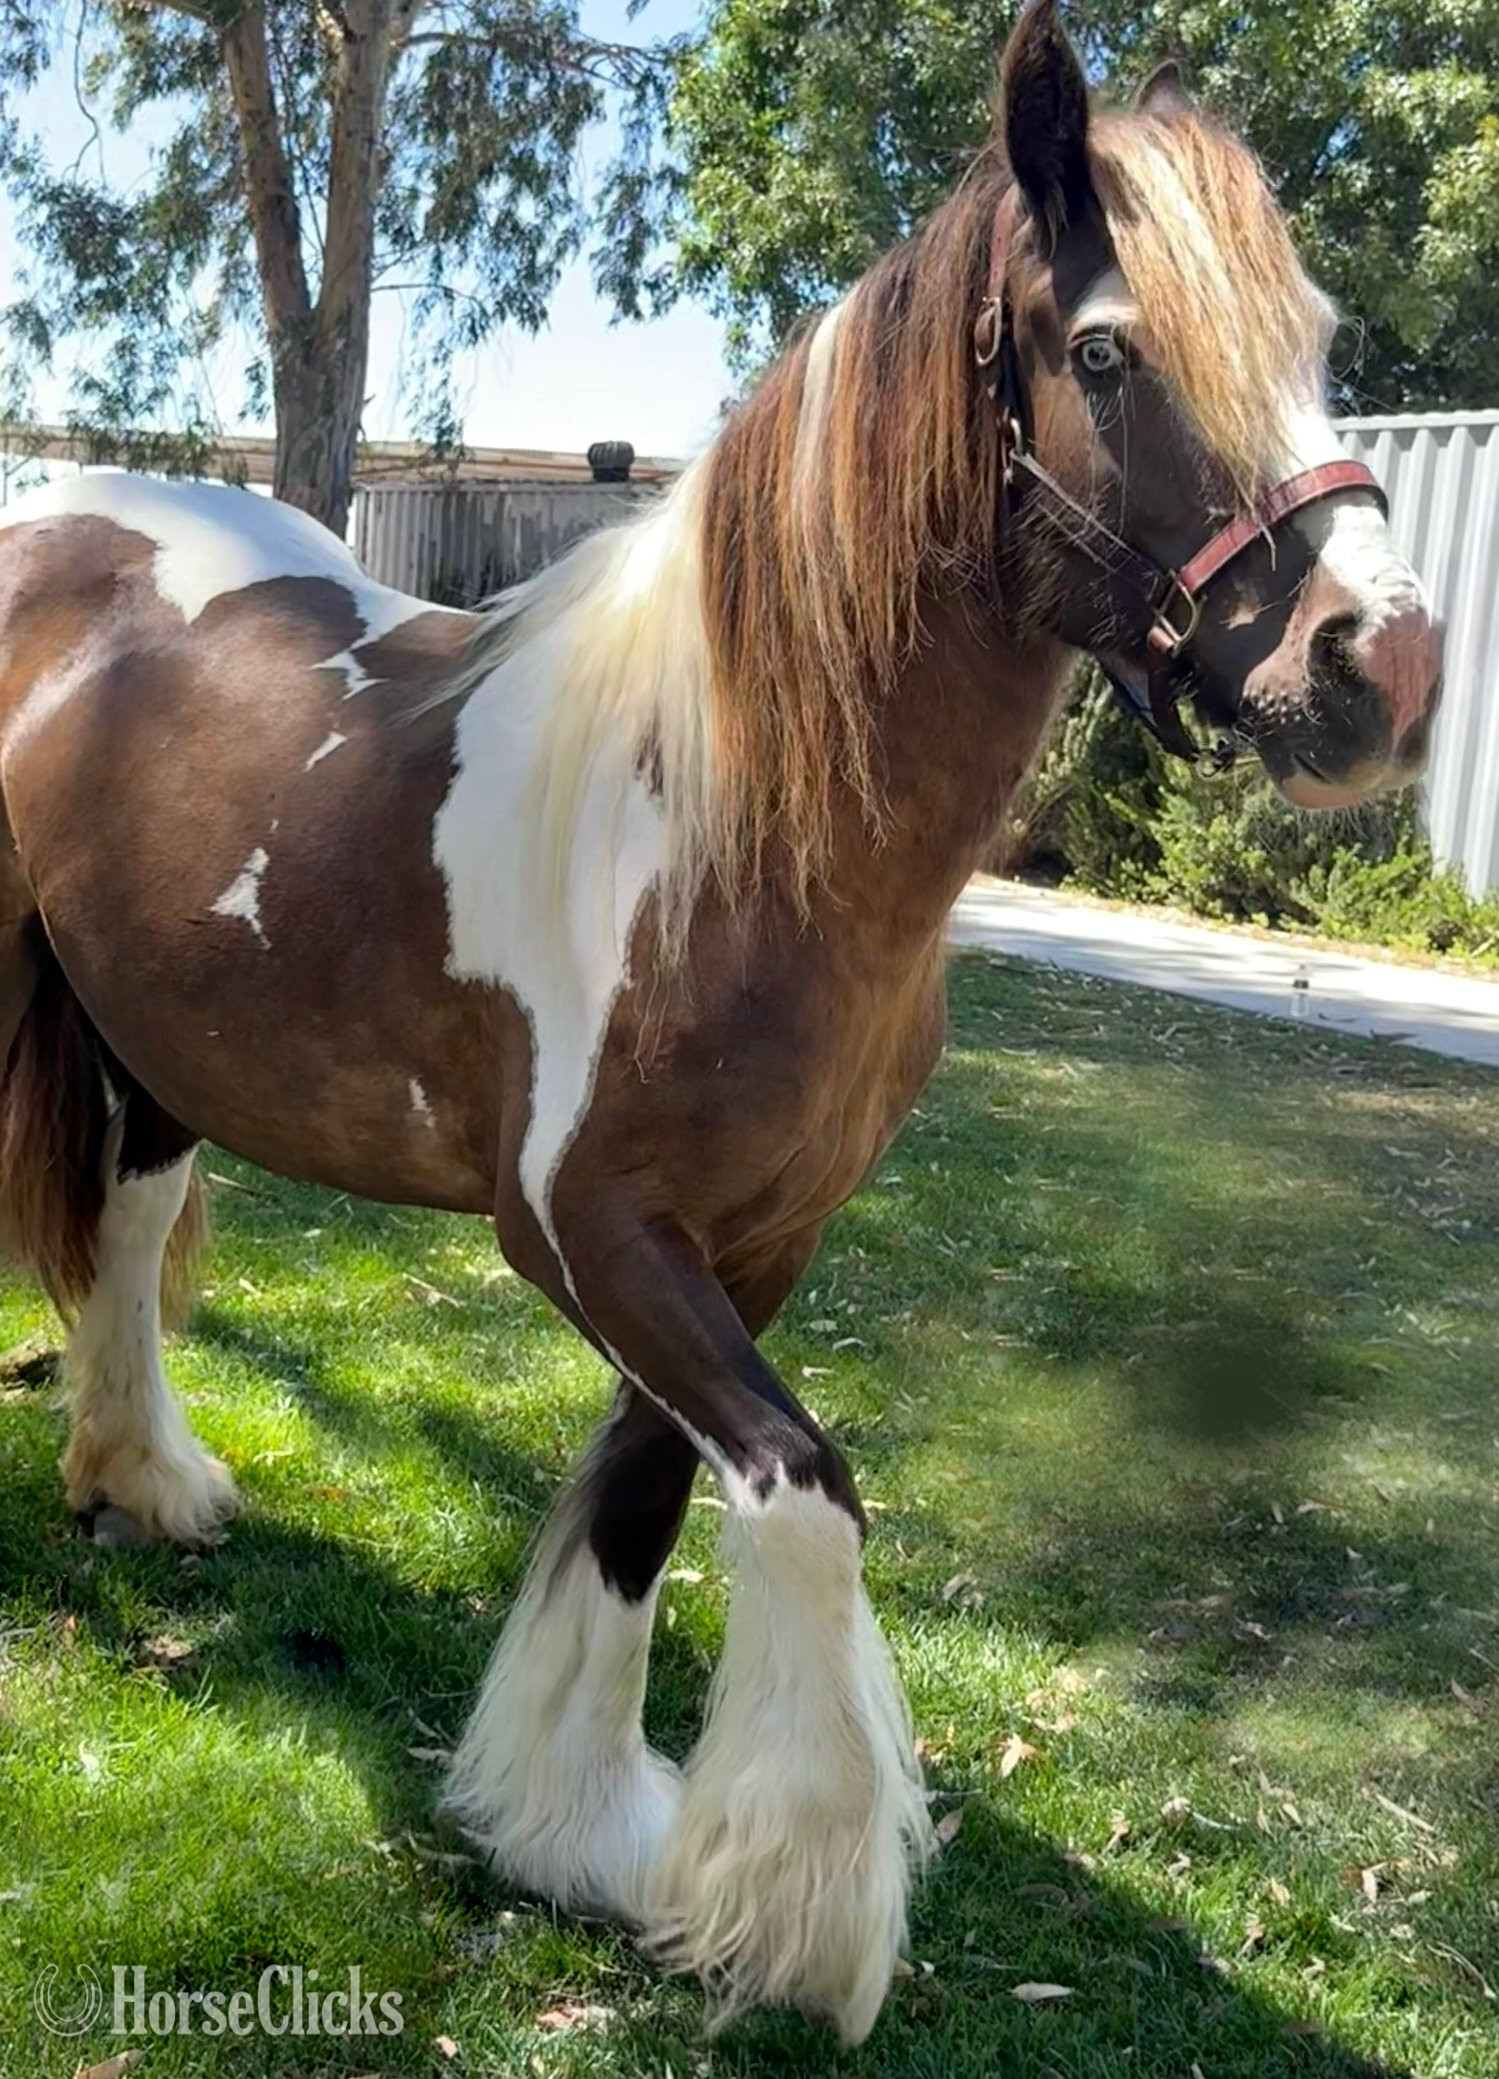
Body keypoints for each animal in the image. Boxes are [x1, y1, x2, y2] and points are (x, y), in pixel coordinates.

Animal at [0, 0, 1439, 2045]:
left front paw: (567, 1826)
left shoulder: (750, 1240)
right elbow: (805, 1491)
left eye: (1314, 335)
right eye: (1104, 347)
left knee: (122, 1223)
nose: (1379, 668)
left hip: (155, 1033)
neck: (731, 822)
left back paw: (144, 1481)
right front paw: (792, 1908)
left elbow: (648, 1495)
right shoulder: (581, 1227)